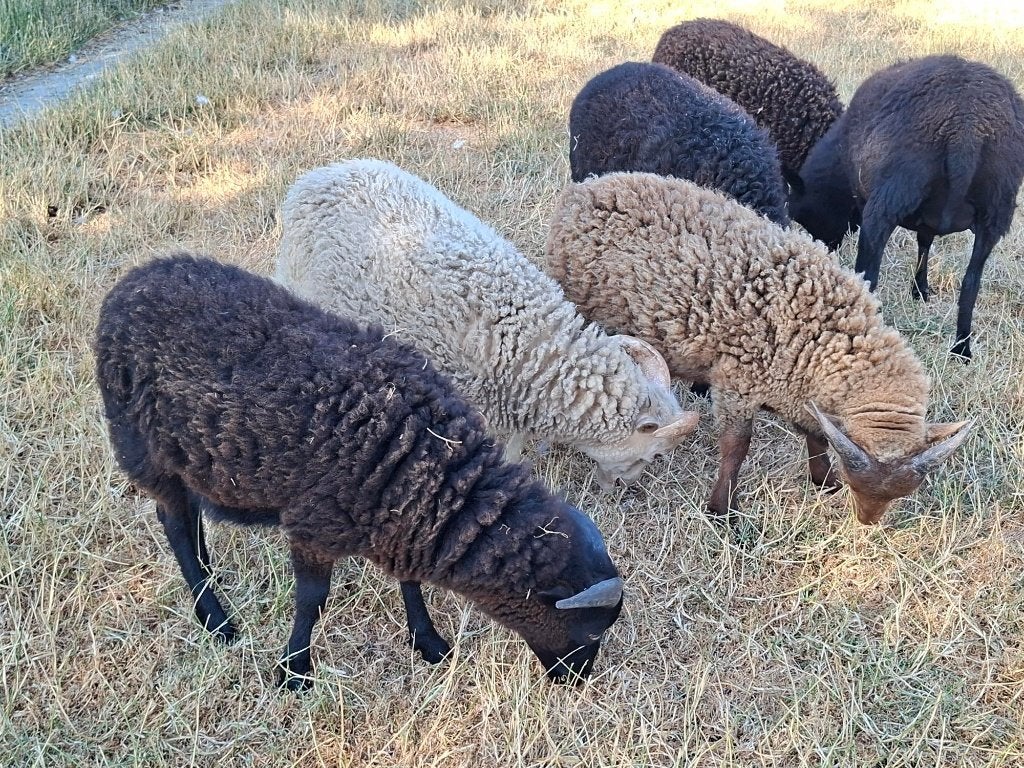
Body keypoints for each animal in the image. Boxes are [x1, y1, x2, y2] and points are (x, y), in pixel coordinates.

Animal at [94, 253, 625, 689]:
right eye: (590, 631)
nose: (576, 681)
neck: (431, 462)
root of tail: (130, 283)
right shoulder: (314, 526)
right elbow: (312, 598)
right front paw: (295, 670)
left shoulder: (404, 521)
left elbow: (410, 582)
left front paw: (428, 641)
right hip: (142, 446)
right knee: (174, 522)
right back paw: (215, 618)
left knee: (190, 517)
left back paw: (211, 577)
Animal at [545, 172, 972, 525]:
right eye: (858, 478)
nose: (867, 521)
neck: (826, 336)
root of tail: (584, 189)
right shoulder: (738, 384)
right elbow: (736, 448)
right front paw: (721, 509)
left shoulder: (799, 393)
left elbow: (817, 435)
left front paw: (823, 481)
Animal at [788, 54, 1024, 361]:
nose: (828, 249)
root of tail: (967, 127)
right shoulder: (929, 220)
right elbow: (925, 243)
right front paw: (920, 289)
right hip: (996, 209)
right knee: (971, 283)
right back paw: (962, 348)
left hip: (889, 197)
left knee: (870, 275)